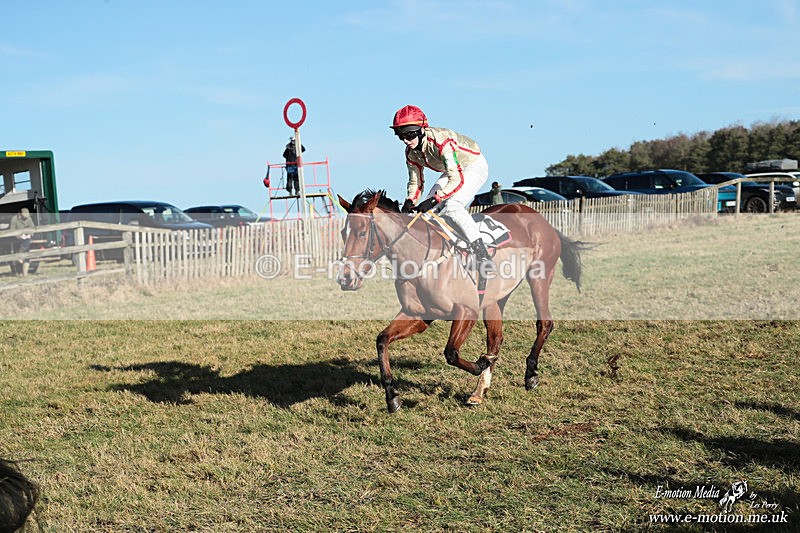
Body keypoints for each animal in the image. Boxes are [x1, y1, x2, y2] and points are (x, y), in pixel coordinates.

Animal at [336, 189, 588, 413]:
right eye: (342, 233)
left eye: (362, 233)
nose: (345, 279)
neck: (421, 257)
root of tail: (540, 219)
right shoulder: (419, 315)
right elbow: (382, 340)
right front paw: (392, 396)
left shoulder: (467, 312)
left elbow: (451, 353)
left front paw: (481, 363)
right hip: (495, 298)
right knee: (496, 338)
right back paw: (479, 391)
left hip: (539, 278)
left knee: (544, 324)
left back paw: (530, 374)